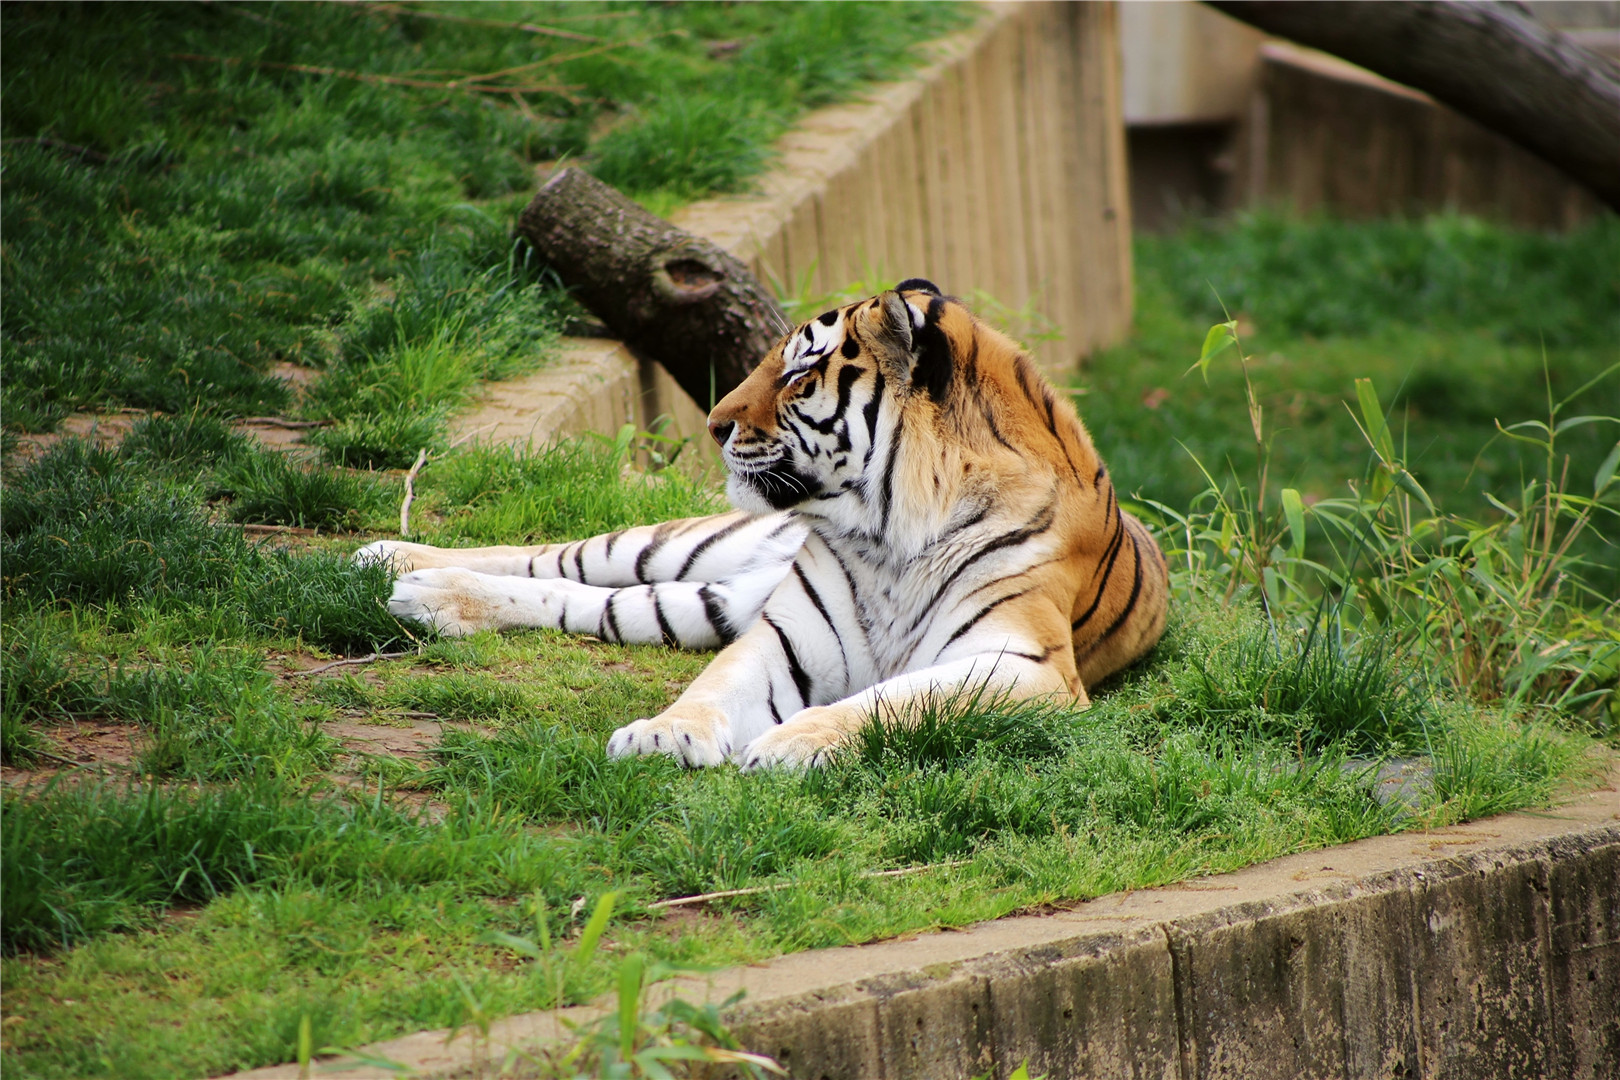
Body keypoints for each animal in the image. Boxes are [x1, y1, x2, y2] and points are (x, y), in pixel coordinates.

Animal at [357, 279, 1169, 770]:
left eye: (799, 374)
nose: (714, 424)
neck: (888, 532)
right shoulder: (781, 635)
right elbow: (714, 685)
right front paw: (665, 734)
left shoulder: (1024, 665)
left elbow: (896, 698)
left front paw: (791, 746)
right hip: (686, 552)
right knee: (559, 560)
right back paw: (394, 559)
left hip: (704, 602)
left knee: (590, 603)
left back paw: (428, 596)